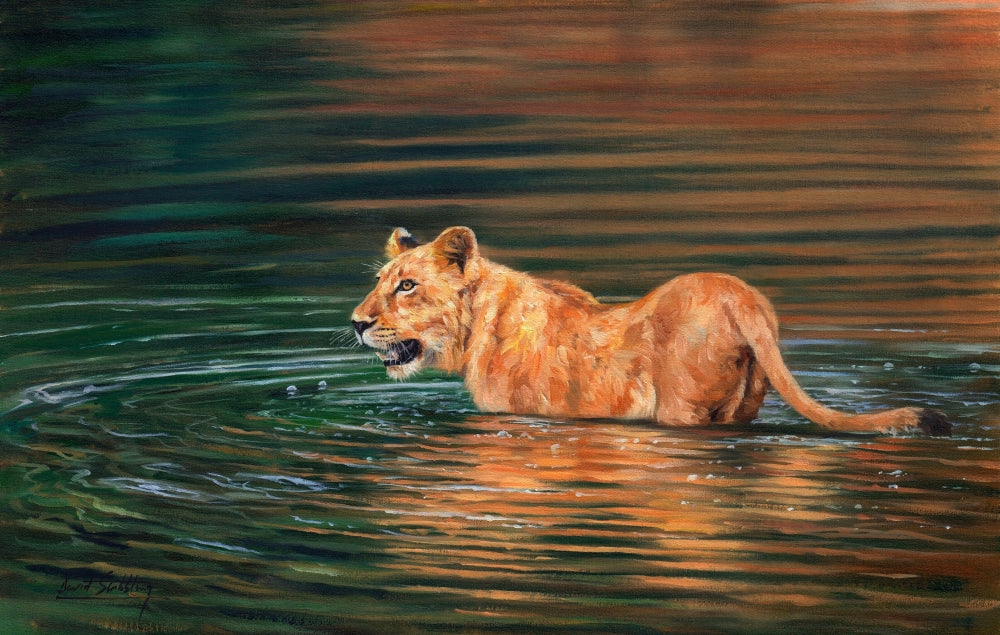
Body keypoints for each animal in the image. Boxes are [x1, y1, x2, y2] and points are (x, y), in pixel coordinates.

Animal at [350, 226, 951, 436]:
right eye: (379, 281)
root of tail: (741, 297)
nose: (356, 324)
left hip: (681, 408)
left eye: (407, 286)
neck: (478, 325)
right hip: (744, 402)